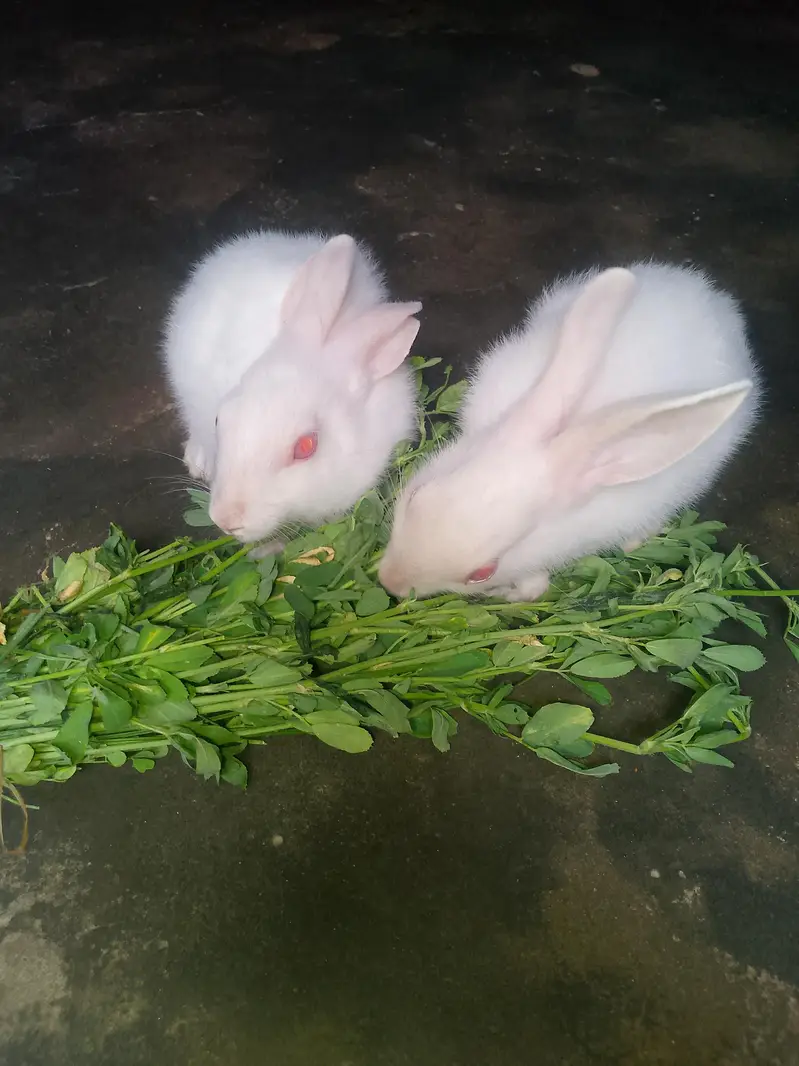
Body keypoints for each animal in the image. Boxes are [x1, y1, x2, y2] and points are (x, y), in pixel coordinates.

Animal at [379, 261, 761, 601]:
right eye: (417, 495)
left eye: (482, 573)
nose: (388, 582)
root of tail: (715, 299)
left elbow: (534, 589)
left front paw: (508, 594)